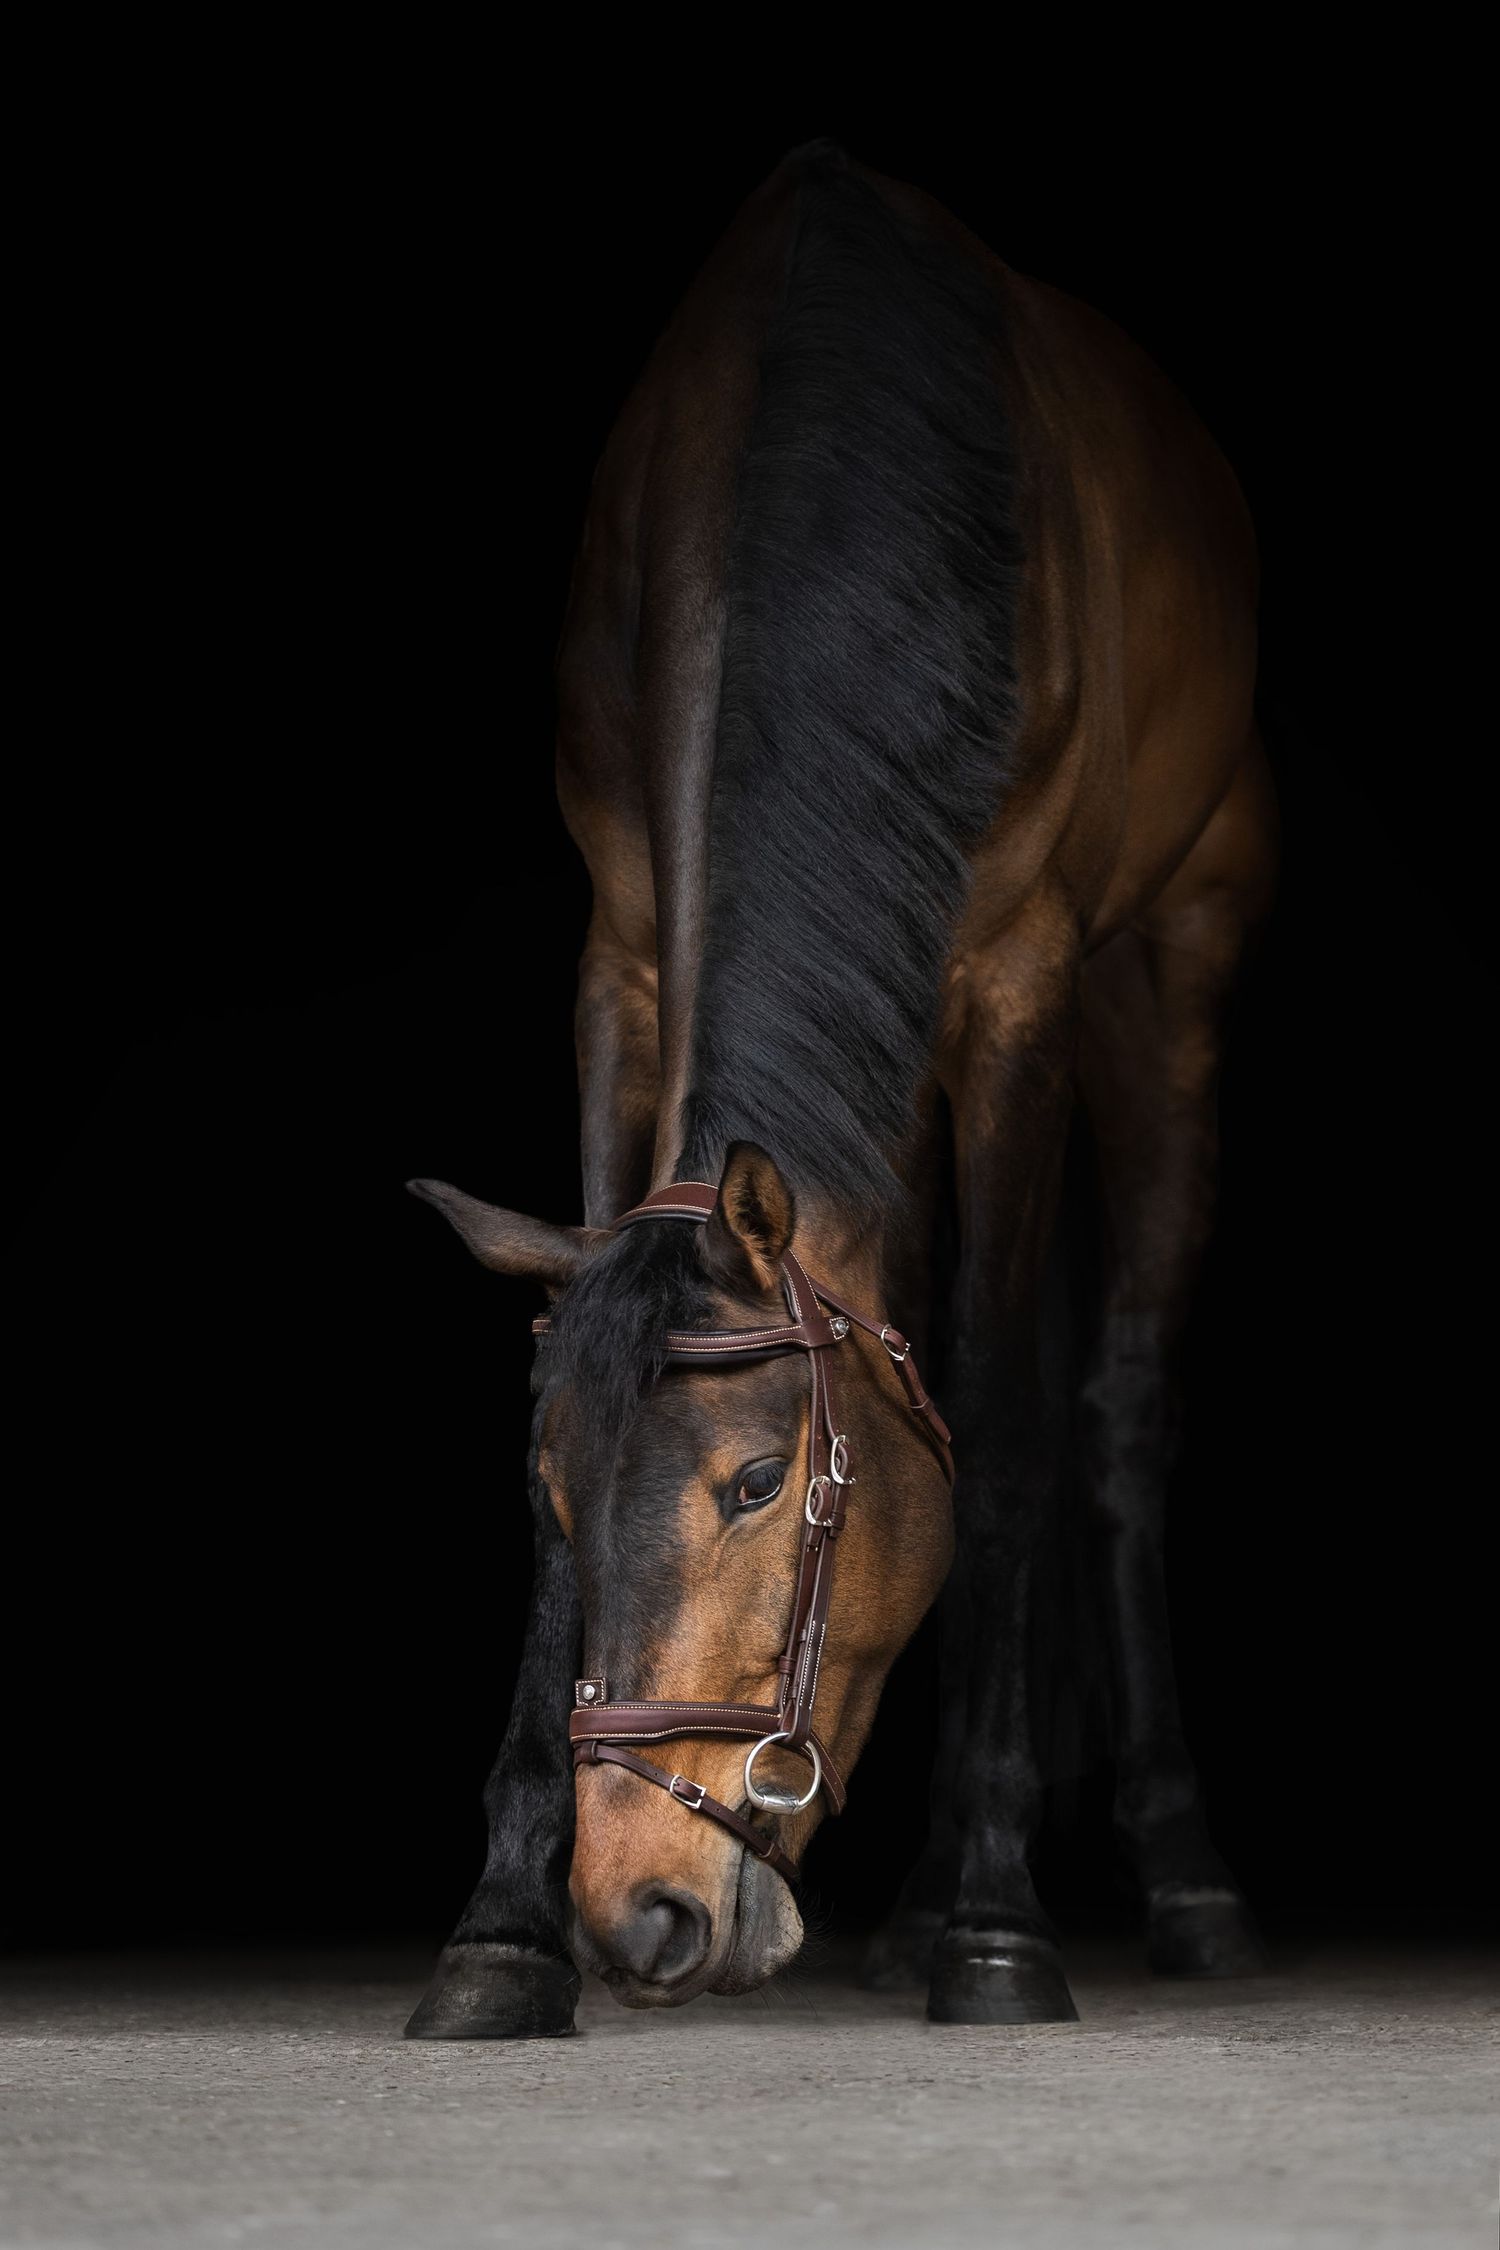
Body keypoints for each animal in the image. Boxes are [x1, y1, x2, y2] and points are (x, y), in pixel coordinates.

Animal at [404, 140, 1277, 2035]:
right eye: (556, 1483)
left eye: (754, 1481)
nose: (637, 1909)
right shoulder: (621, 955)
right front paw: (502, 1932)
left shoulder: (1021, 978)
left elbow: (1006, 1431)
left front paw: (1001, 1928)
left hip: (1166, 970)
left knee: (1118, 1412)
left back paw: (1176, 1880)